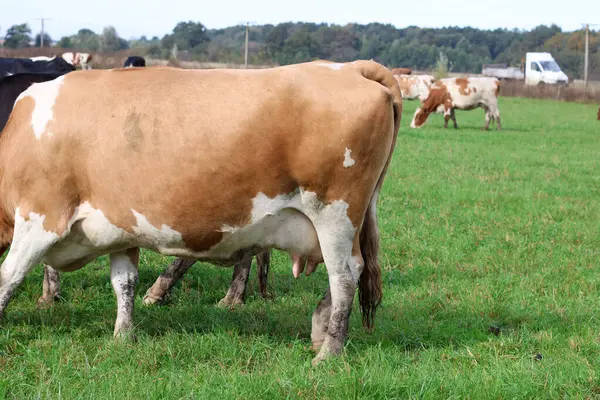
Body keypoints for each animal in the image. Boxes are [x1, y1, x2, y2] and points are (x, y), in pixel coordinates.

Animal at [1, 60, 404, 366]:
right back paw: (320, 329)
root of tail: (350, 67)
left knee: (344, 277)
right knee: (353, 270)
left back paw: (328, 353)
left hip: (334, 213)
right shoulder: (121, 227)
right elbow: (124, 283)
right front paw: (123, 337)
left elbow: (9, 277)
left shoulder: (40, 217)